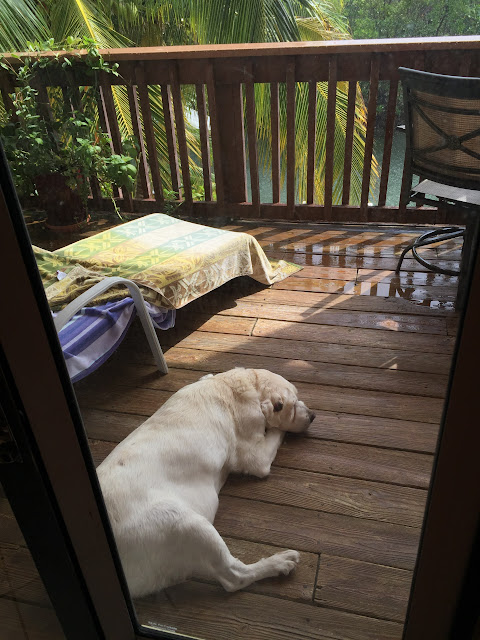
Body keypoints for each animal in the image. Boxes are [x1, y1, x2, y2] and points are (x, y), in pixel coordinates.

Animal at [97, 368, 315, 597]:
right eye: (293, 404)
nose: (312, 415)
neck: (231, 385)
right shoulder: (257, 454)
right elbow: (274, 432)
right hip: (185, 523)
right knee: (235, 576)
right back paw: (279, 562)